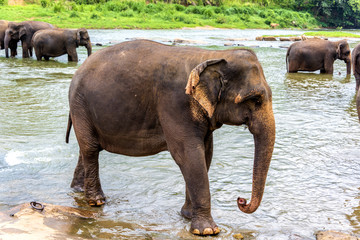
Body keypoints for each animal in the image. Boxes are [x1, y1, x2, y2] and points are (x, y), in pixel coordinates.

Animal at [66, 39, 278, 236]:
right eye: (255, 99)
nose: (241, 200)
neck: (212, 56)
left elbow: (206, 153)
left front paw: (188, 216)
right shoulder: (175, 103)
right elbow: (188, 155)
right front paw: (207, 231)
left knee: (87, 148)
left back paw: (78, 191)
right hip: (79, 104)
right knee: (90, 148)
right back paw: (96, 201)